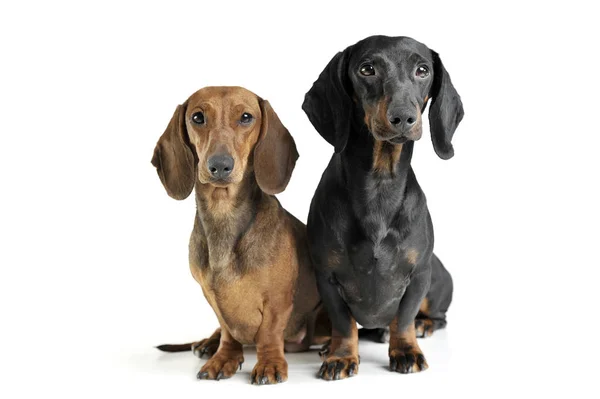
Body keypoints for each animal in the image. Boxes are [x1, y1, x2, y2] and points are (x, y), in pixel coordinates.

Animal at [151, 86, 328, 384]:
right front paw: (224, 358)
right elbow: (227, 330)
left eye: (246, 117)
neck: (224, 217)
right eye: (197, 117)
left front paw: (269, 364)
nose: (220, 165)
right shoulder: (213, 297)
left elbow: (269, 332)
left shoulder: (277, 300)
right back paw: (207, 343)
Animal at [302, 35, 462, 382]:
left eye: (422, 70)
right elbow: (343, 322)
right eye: (367, 69)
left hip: (437, 280)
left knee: (437, 317)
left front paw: (406, 350)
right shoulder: (327, 277)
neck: (379, 185)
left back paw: (423, 325)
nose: (403, 117)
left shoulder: (419, 275)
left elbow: (403, 319)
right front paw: (340, 355)